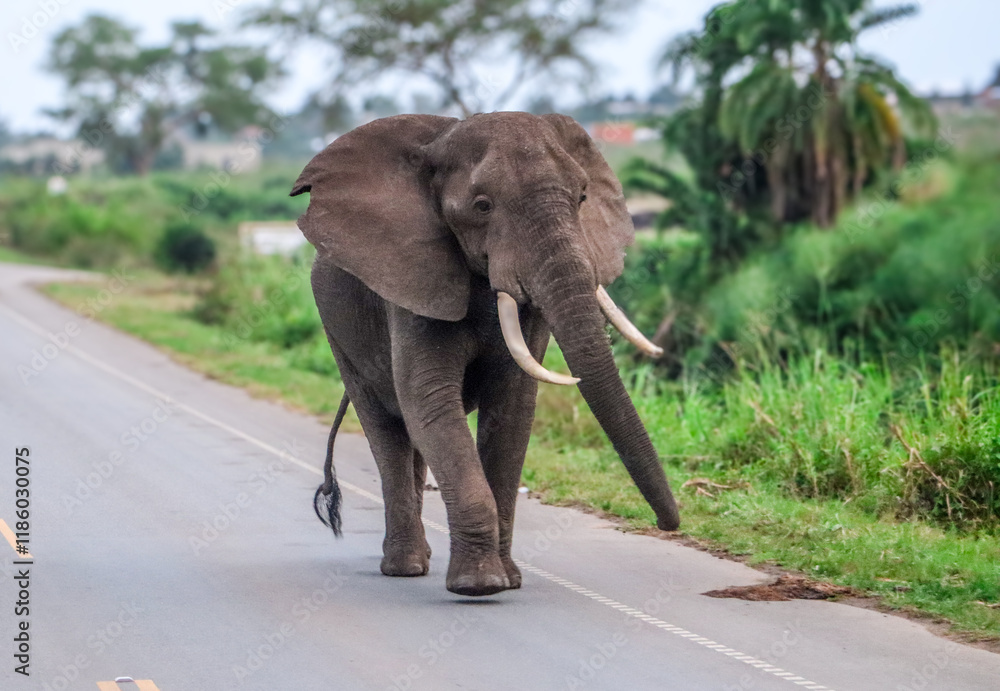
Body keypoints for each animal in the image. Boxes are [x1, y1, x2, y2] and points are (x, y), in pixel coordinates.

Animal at [292, 111, 680, 597]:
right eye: (482, 206)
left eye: (582, 197)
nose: (669, 525)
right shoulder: (411, 281)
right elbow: (430, 400)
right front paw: (479, 586)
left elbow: (512, 408)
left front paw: (508, 580)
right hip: (337, 327)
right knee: (388, 430)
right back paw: (405, 567)